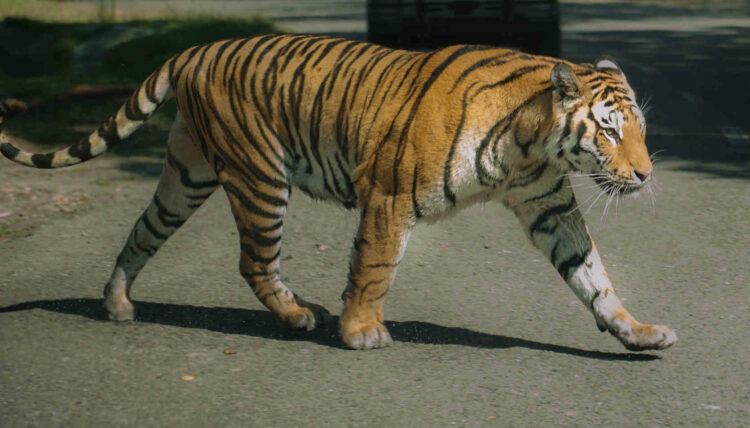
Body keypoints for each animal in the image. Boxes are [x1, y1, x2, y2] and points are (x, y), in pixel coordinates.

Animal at [0, 34, 677, 351]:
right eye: (610, 131)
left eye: (640, 129)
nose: (645, 176)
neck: (531, 145)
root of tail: (197, 47)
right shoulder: (389, 194)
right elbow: (375, 268)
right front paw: (361, 332)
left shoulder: (550, 207)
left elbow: (593, 275)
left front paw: (636, 332)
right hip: (260, 177)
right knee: (254, 260)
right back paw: (301, 316)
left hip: (185, 176)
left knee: (142, 233)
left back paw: (116, 304)